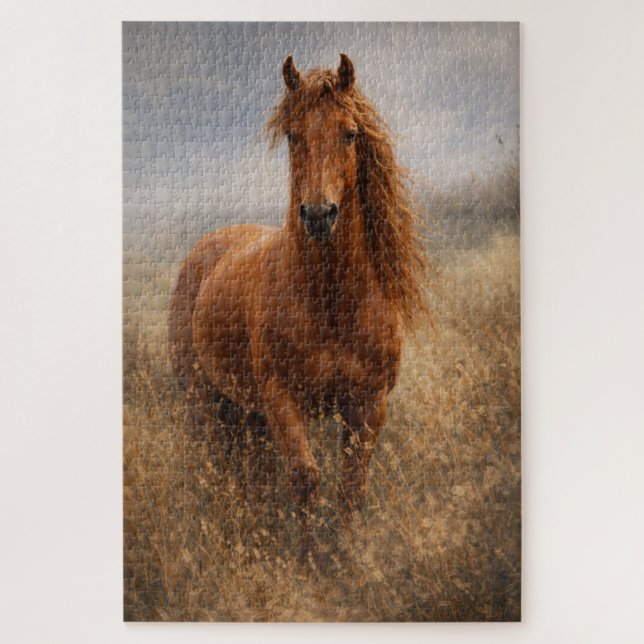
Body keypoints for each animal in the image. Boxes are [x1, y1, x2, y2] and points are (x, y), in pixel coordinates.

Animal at [168, 53, 427, 548]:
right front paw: (306, 556)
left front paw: (345, 553)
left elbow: (351, 487)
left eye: (350, 133)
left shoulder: (368, 405)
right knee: (213, 463)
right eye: (293, 135)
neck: (331, 301)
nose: (319, 215)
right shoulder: (282, 399)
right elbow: (306, 478)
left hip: (246, 413)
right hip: (202, 401)